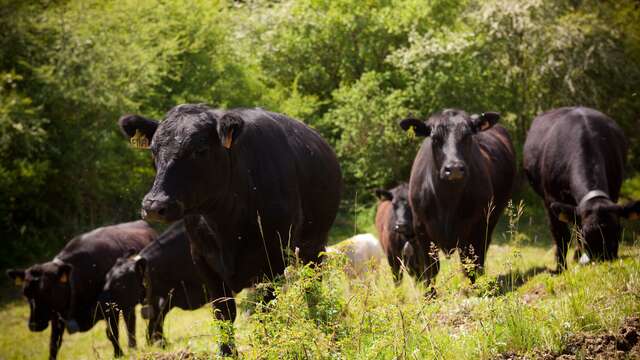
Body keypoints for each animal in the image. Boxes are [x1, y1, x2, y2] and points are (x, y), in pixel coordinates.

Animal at [5, 221, 156, 358]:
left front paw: (118, 354)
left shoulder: (110, 308)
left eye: (47, 291)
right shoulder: (57, 316)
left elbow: (112, 333)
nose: (34, 325)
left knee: (131, 325)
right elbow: (54, 344)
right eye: (25, 293)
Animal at [117, 105, 342, 354]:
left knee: (312, 288)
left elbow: (265, 311)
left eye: (200, 150)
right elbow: (223, 314)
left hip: (314, 245)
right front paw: (227, 352)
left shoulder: (273, 258)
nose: (154, 206)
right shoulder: (203, 260)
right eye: (154, 151)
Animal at [398, 109, 516, 290]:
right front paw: (429, 295)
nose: (453, 168)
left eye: (467, 136)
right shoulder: (421, 229)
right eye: (435, 138)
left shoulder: (478, 226)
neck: (447, 200)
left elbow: (472, 266)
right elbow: (430, 270)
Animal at [524, 106, 636, 270]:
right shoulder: (551, 199)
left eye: (617, 230)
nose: (605, 259)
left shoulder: (614, 192)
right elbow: (561, 235)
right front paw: (560, 268)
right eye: (586, 234)